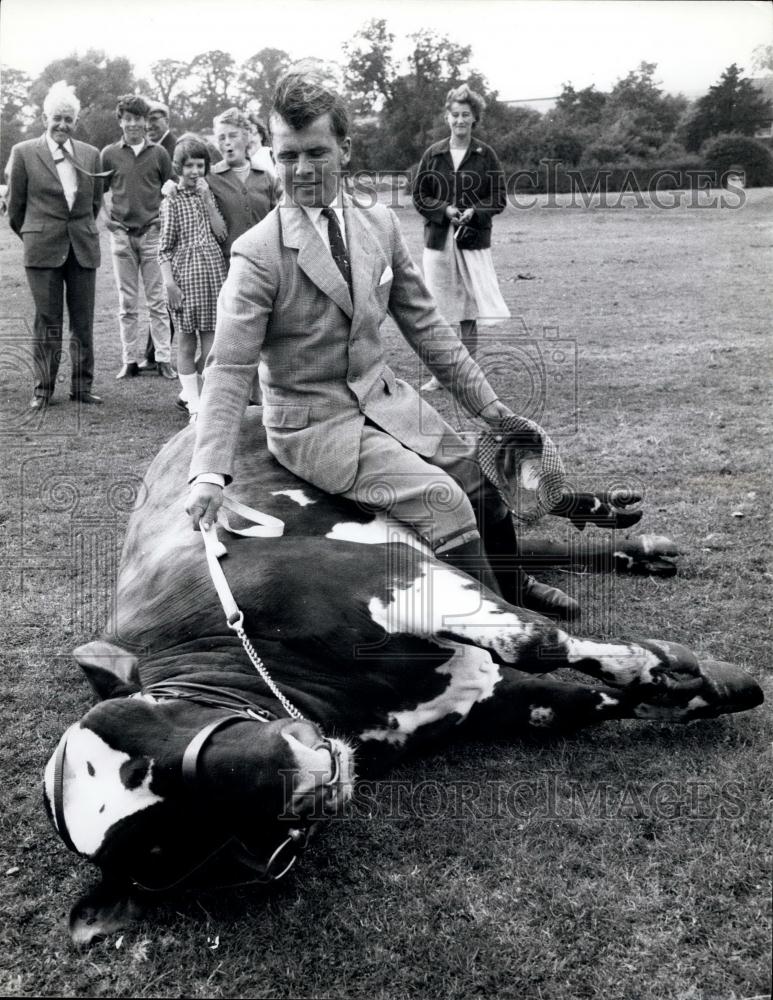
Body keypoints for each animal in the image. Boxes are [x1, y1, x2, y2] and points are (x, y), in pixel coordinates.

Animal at [45, 410, 764, 940]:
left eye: (160, 720)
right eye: (169, 844)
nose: (306, 775)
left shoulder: (397, 577)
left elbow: (533, 640)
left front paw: (664, 665)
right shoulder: (480, 696)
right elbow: (575, 697)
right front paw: (698, 685)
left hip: (442, 474)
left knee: (503, 516)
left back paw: (616, 525)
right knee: (512, 556)